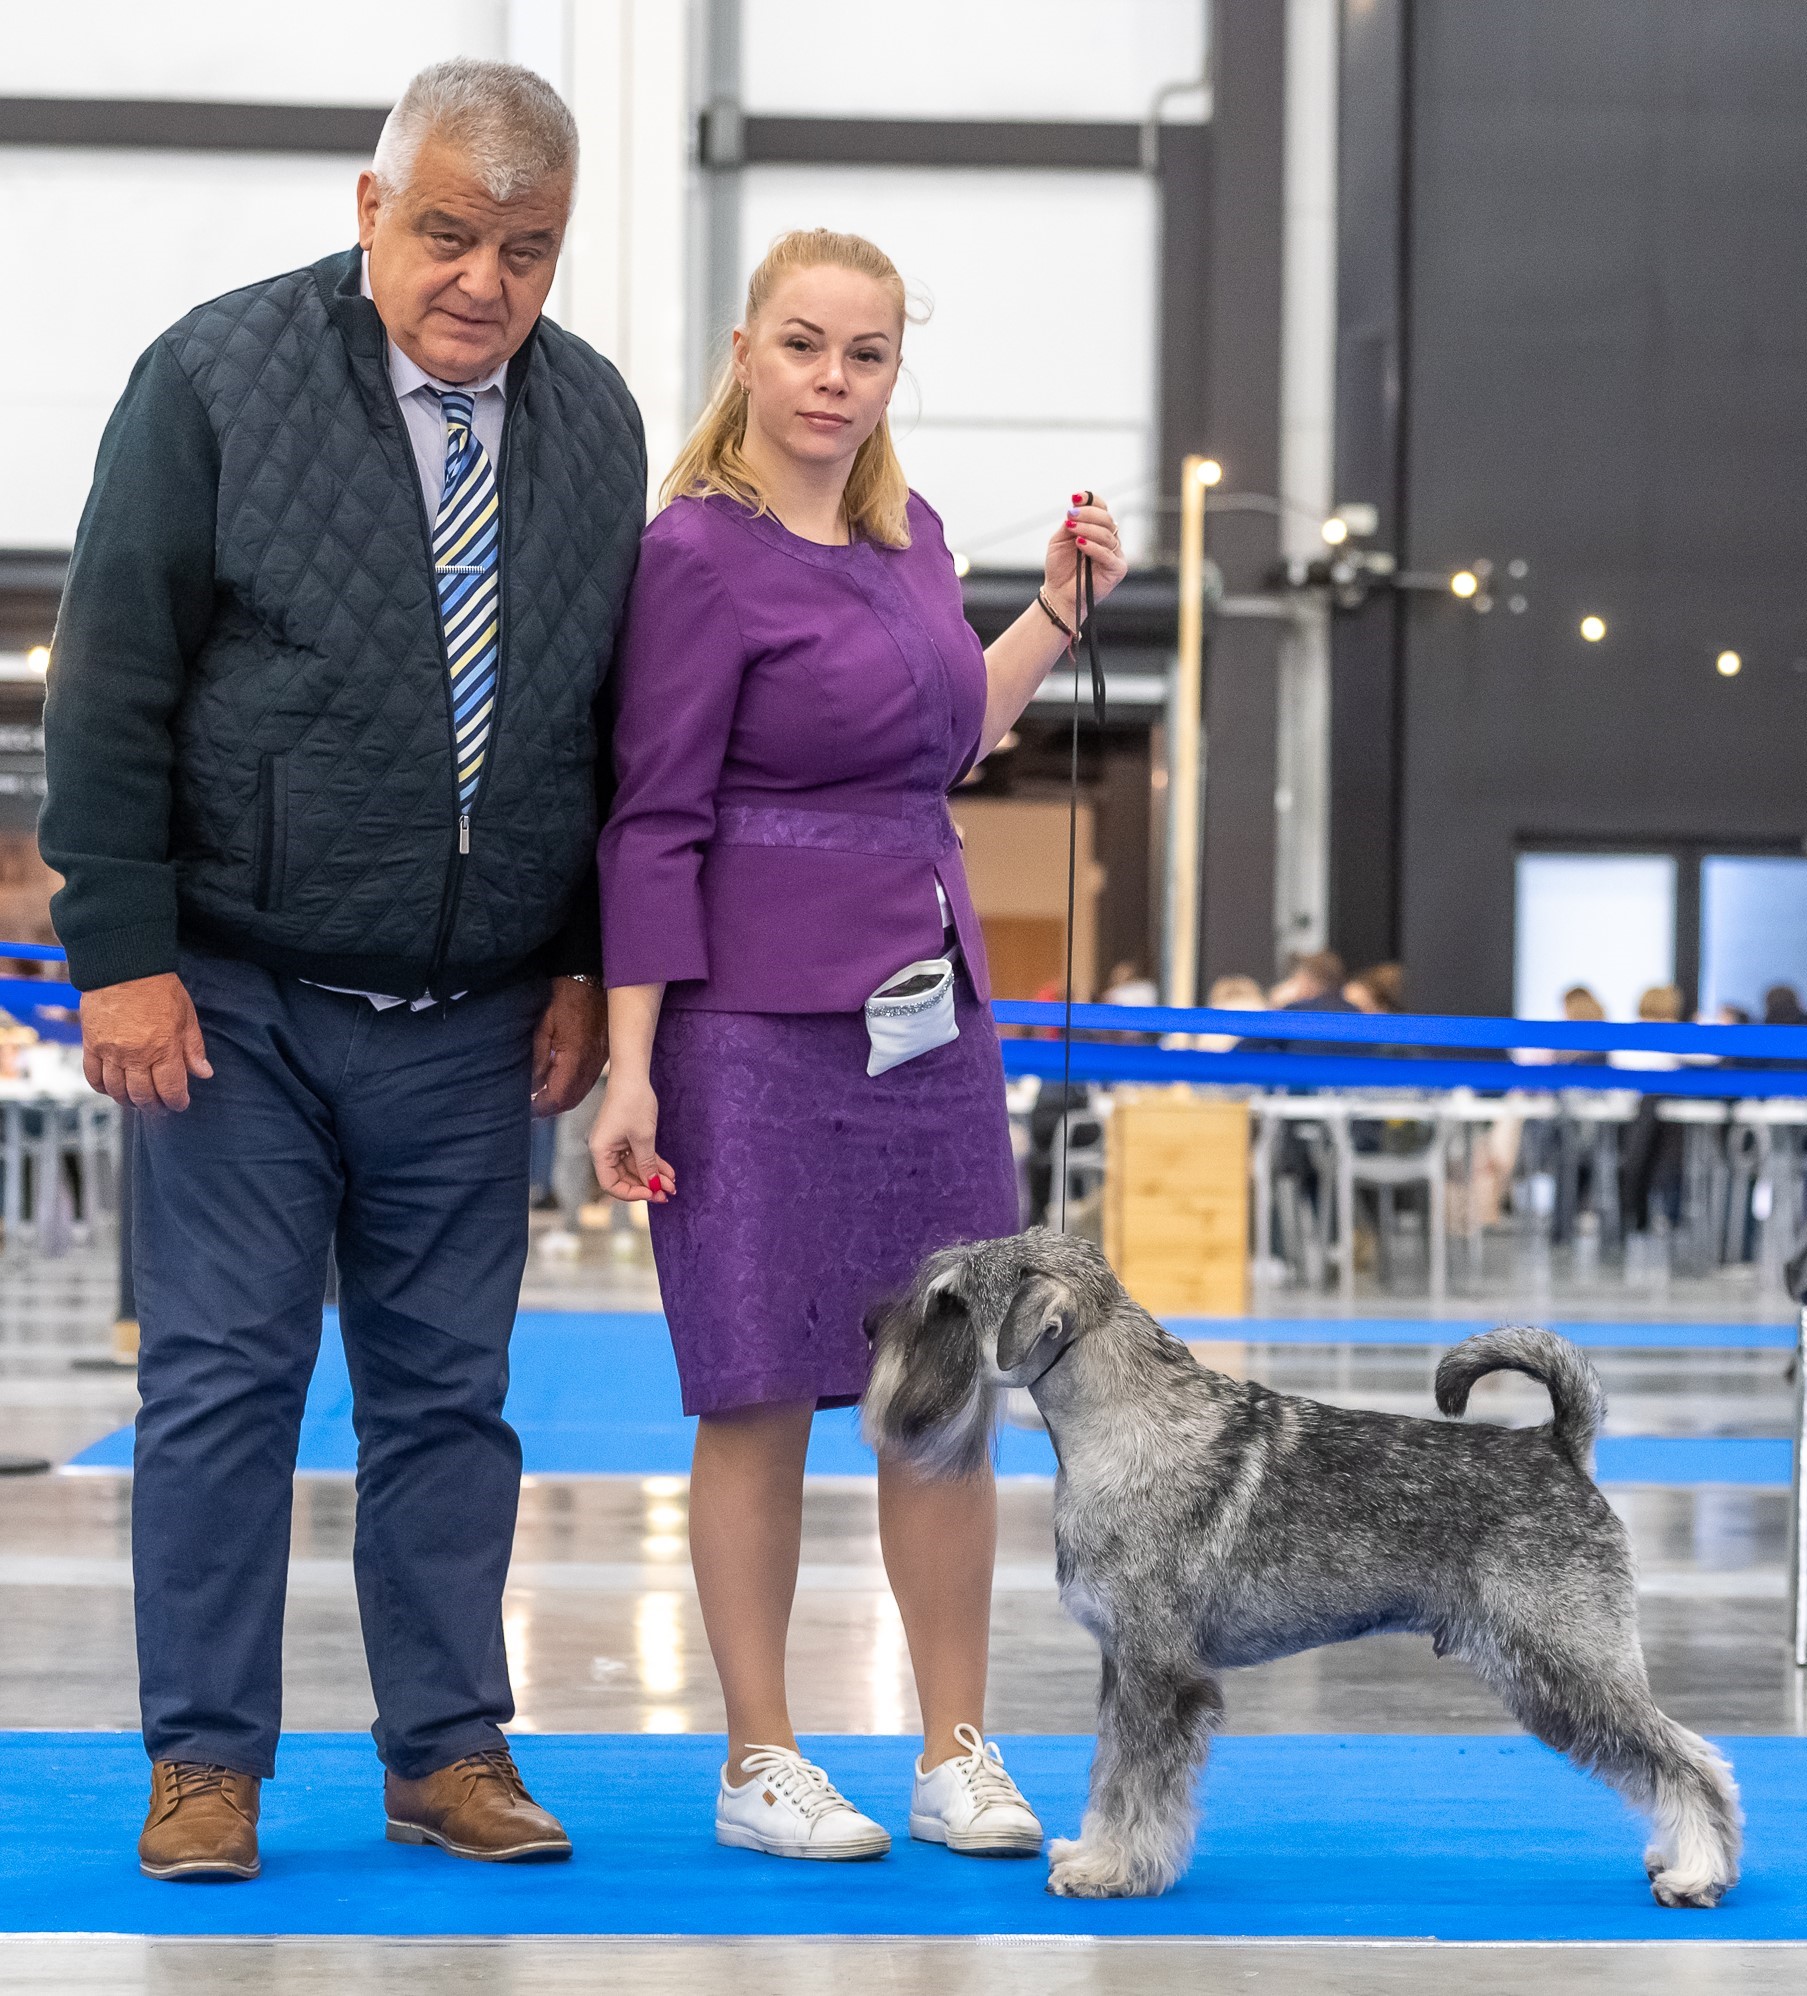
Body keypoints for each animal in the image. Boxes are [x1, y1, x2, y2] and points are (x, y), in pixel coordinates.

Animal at [866, 1229, 1741, 1900]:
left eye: (948, 1301)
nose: (867, 1322)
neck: (1124, 1425)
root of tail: (1557, 1447)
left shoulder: (1159, 1675)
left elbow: (1137, 1785)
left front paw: (1112, 1871)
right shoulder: (1123, 1668)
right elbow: (1110, 1772)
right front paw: (1094, 1852)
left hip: (1561, 1661)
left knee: (1688, 1761)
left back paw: (1697, 1872)